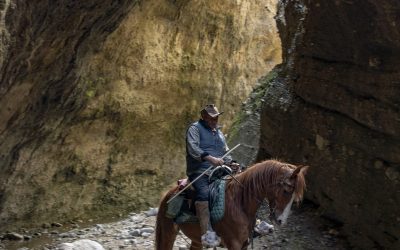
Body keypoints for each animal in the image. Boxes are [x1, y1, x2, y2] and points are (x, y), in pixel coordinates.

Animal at [155, 160, 308, 250]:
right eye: (286, 191)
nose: (281, 220)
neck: (240, 203)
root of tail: (167, 194)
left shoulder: (244, 244)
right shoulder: (234, 244)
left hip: (196, 239)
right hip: (168, 232)